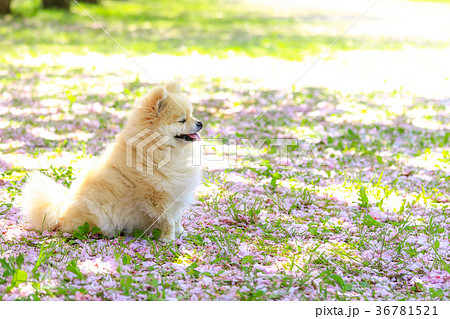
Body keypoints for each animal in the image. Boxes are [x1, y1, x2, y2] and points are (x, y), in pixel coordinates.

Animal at [22, 82, 202, 242]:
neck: (164, 151)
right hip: (99, 218)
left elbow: (176, 218)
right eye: (182, 120)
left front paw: (181, 232)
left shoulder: (176, 194)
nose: (200, 123)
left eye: (192, 114)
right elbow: (168, 221)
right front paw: (168, 239)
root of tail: (60, 208)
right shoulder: (157, 197)